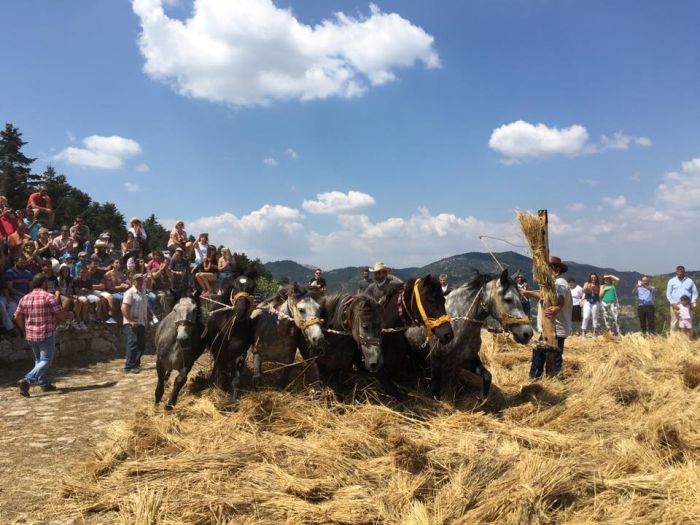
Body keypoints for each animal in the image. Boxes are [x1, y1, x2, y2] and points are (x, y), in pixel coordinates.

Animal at [205, 266, 260, 406]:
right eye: (234, 286)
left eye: (252, 287)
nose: (240, 312)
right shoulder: (218, 349)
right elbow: (218, 367)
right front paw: (214, 385)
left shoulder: (240, 353)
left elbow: (235, 379)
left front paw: (233, 402)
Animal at [404, 268, 532, 400]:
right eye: (508, 299)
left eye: (521, 298)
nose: (527, 333)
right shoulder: (435, 363)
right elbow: (436, 392)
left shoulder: (466, 360)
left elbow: (487, 376)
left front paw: (481, 399)